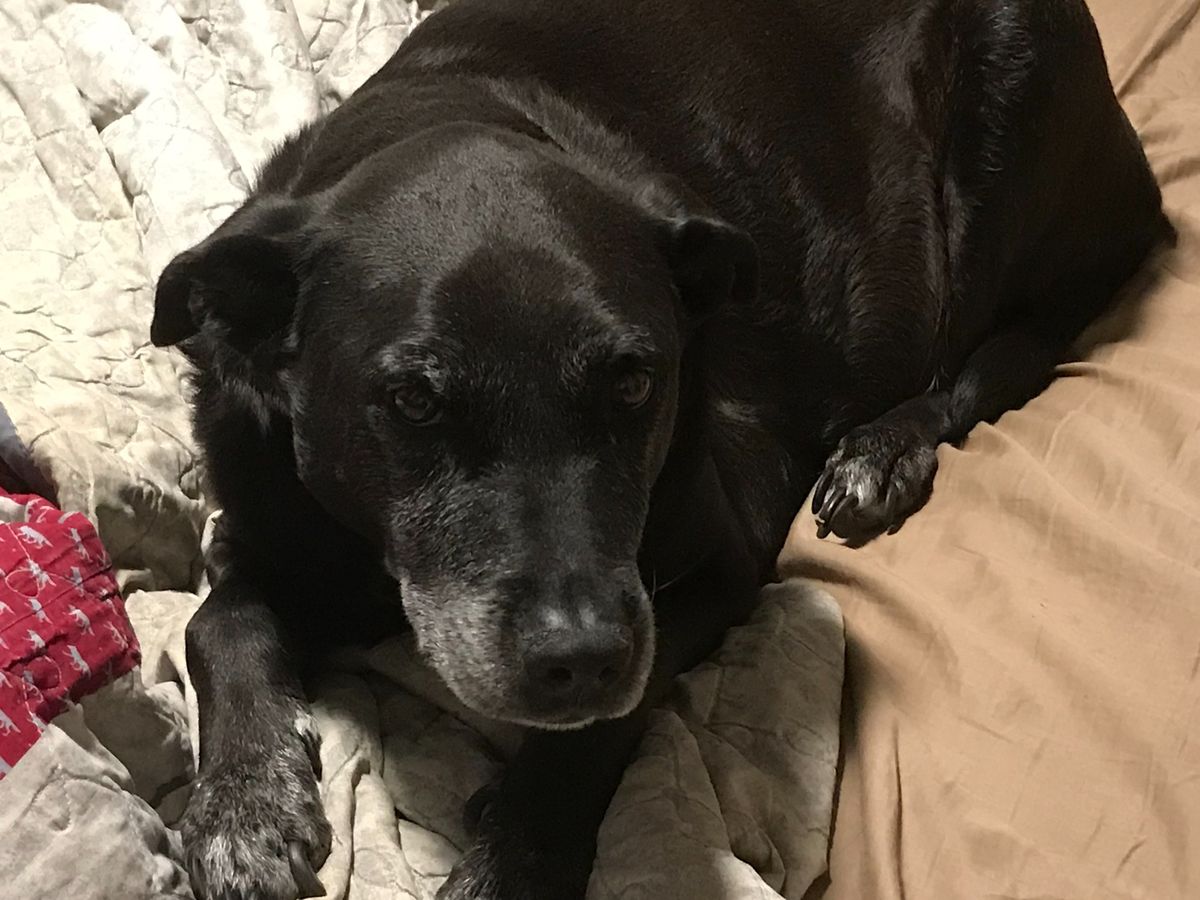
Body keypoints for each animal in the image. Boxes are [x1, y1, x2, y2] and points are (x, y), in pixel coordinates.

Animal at [150, 0, 1168, 897]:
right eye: (412, 401)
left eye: (636, 382)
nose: (580, 657)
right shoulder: (268, 530)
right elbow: (215, 619)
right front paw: (244, 804)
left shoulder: (720, 555)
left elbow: (614, 717)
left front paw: (522, 847)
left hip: (1011, 122)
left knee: (998, 355)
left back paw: (885, 450)